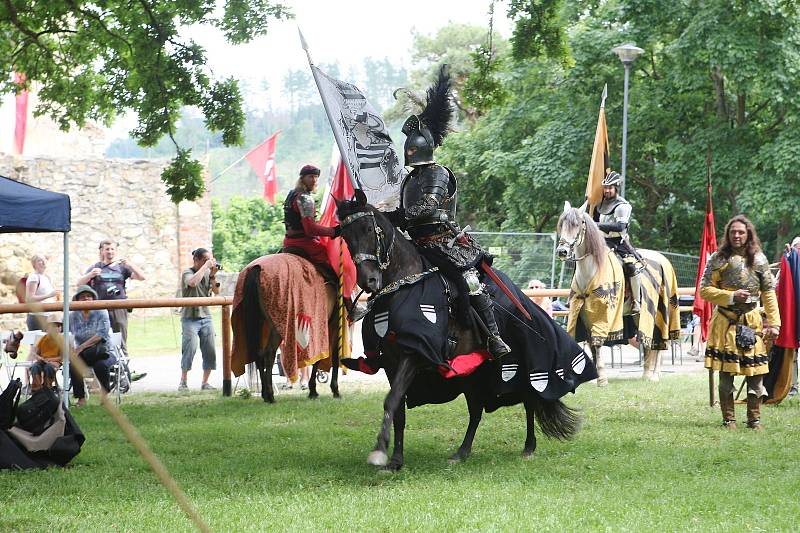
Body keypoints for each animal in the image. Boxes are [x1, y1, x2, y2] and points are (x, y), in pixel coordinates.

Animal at [231, 254, 344, 400]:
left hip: (261, 323)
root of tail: (256, 269)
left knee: (259, 353)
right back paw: (270, 395)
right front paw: (331, 390)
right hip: (277, 327)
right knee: (269, 353)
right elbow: (331, 355)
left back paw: (264, 393)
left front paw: (313, 390)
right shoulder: (333, 324)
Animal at [336, 194, 592, 470]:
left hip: (522, 365)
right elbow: (397, 409)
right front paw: (395, 459)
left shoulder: (413, 353)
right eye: (346, 237)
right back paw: (463, 451)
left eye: (369, 229)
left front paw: (380, 451)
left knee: (529, 398)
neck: (403, 282)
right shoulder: (390, 362)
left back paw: (528, 446)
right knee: (477, 409)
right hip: (473, 373)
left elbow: (392, 400)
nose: (369, 281)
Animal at [556, 202, 680, 384]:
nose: (562, 251)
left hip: (660, 310)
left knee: (660, 340)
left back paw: (655, 374)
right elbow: (591, 344)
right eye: (561, 225)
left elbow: (597, 342)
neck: (592, 269)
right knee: (647, 341)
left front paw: (602, 379)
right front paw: (597, 376)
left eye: (577, 225)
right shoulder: (583, 313)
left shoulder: (603, 313)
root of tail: (663, 259)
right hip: (639, 315)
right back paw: (646, 373)